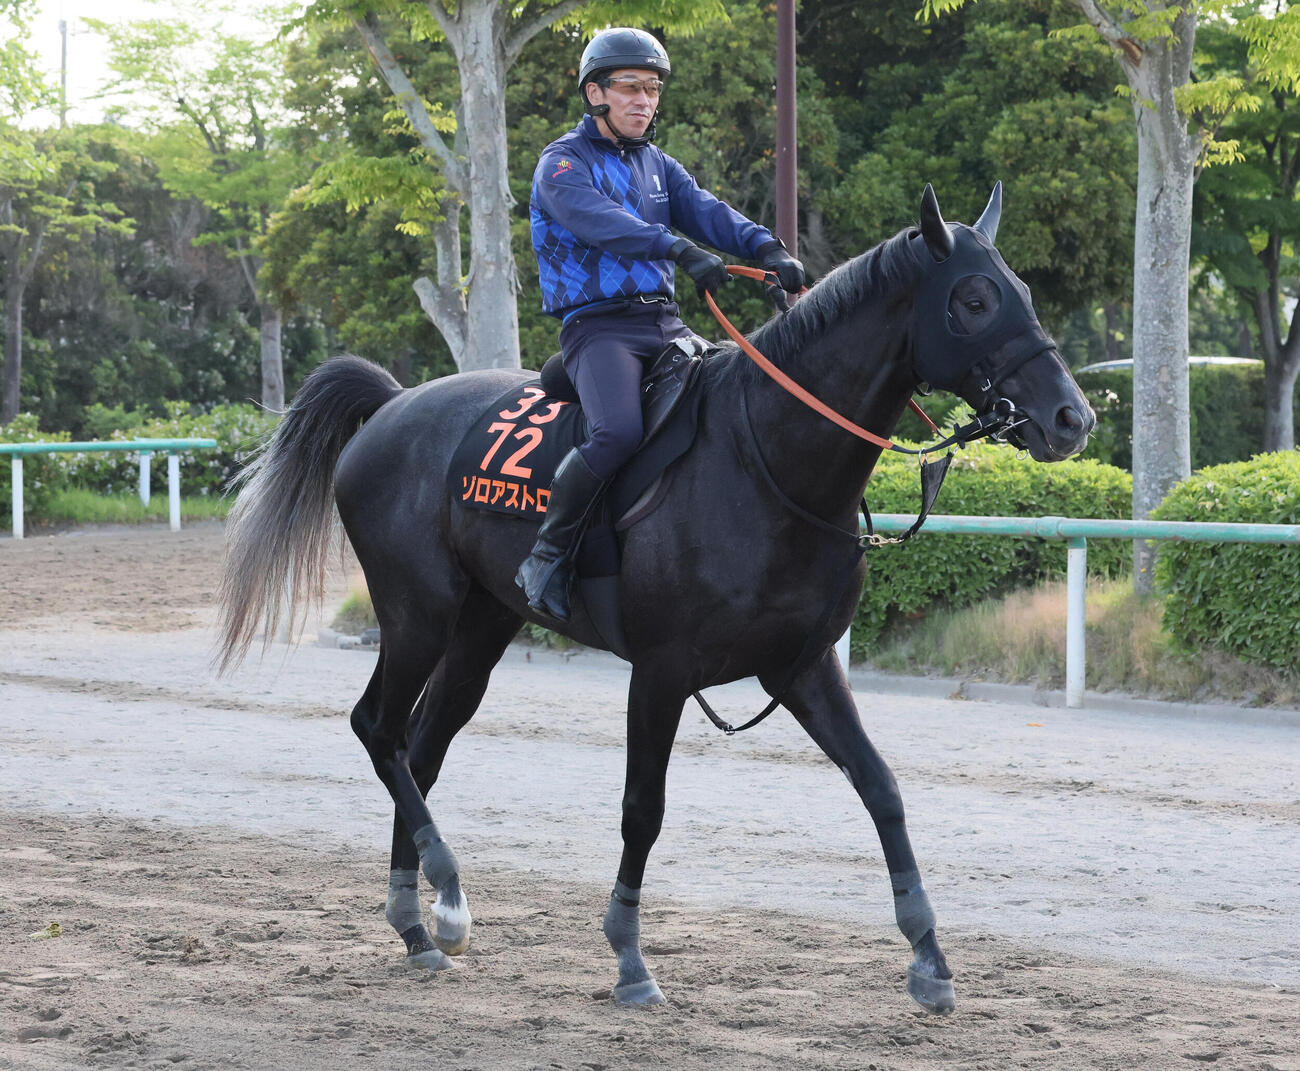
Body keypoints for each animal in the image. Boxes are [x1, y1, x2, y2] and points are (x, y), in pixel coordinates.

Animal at [217, 185, 1094, 1014]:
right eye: (974, 298)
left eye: (1022, 289)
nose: (1071, 417)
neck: (763, 457)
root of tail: (394, 405)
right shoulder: (662, 671)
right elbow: (644, 807)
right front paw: (630, 960)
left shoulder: (803, 666)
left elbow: (882, 789)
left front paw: (929, 959)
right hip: (416, 615)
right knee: (378, 727)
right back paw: (447, 887)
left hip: (479, 628)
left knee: (420, 746)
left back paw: (418, 919)